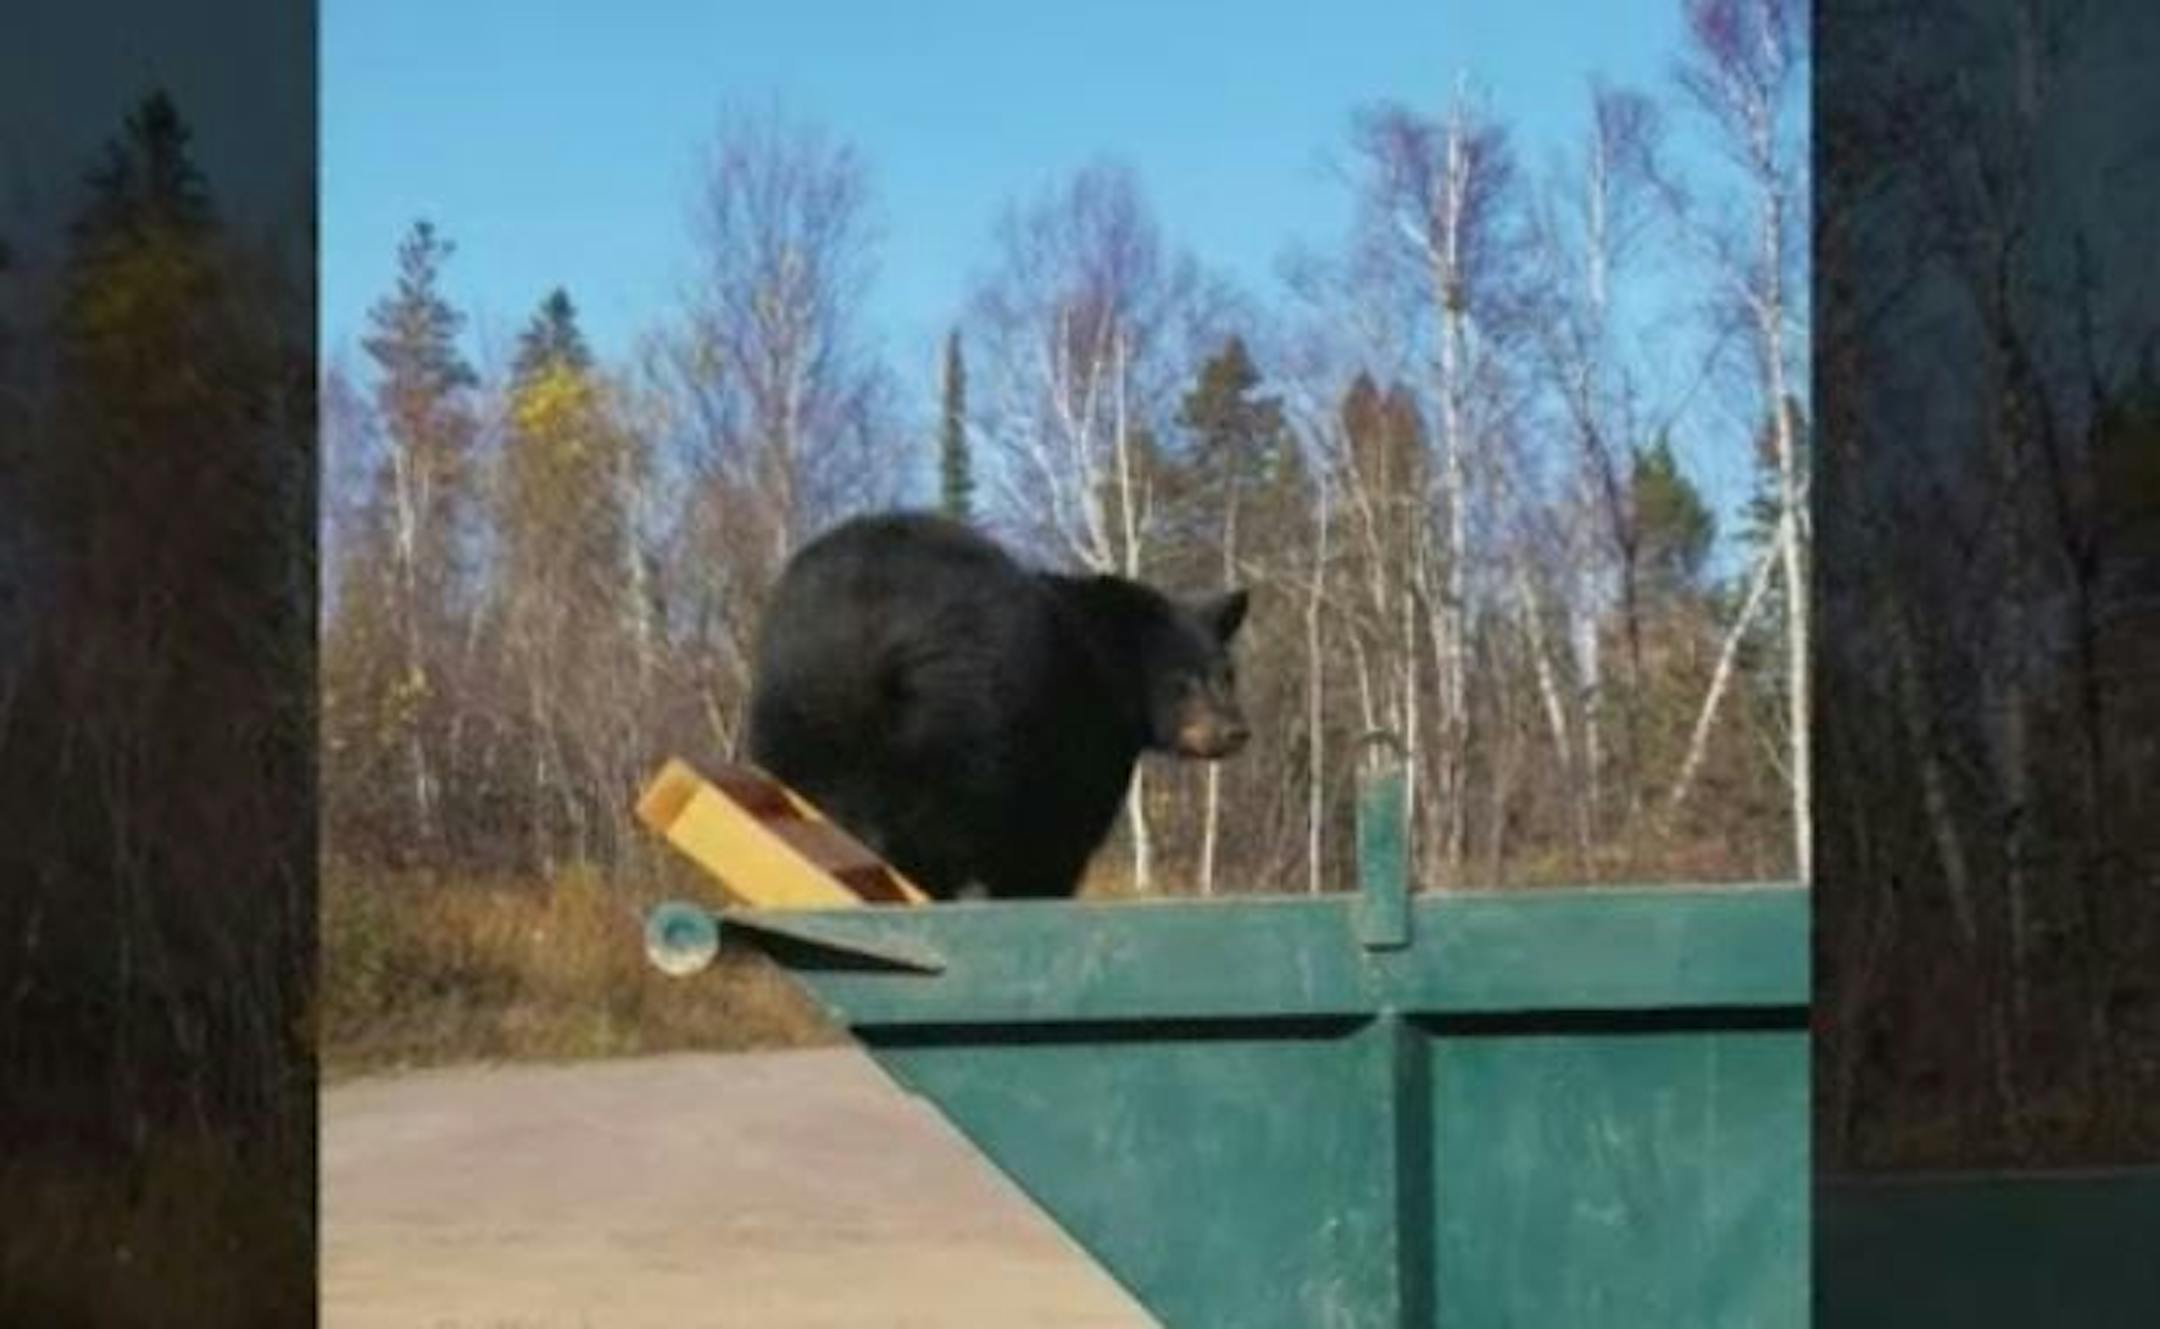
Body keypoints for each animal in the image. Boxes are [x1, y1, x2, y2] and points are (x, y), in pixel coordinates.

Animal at [745, 510, 1250, 900]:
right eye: (1180, 682)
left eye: (1227, 675)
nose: (1234, 731)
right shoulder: (1069, 764)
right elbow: (1048, 854)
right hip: (961, 725)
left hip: (796, 703)